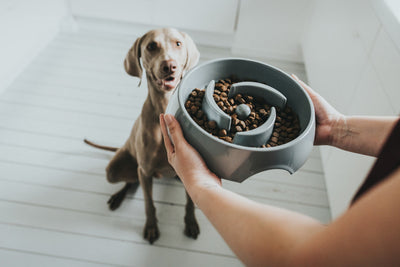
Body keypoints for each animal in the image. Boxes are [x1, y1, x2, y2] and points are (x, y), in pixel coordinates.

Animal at [86, 28, 202, 245]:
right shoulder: (146, 170)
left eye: (178, 43)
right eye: (151, 46)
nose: (169, 65)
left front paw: (191, 223)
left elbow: (191, 201)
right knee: (132, 180)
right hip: (116, 169)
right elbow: (149, 203)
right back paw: (118, 196)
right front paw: (151, 227)